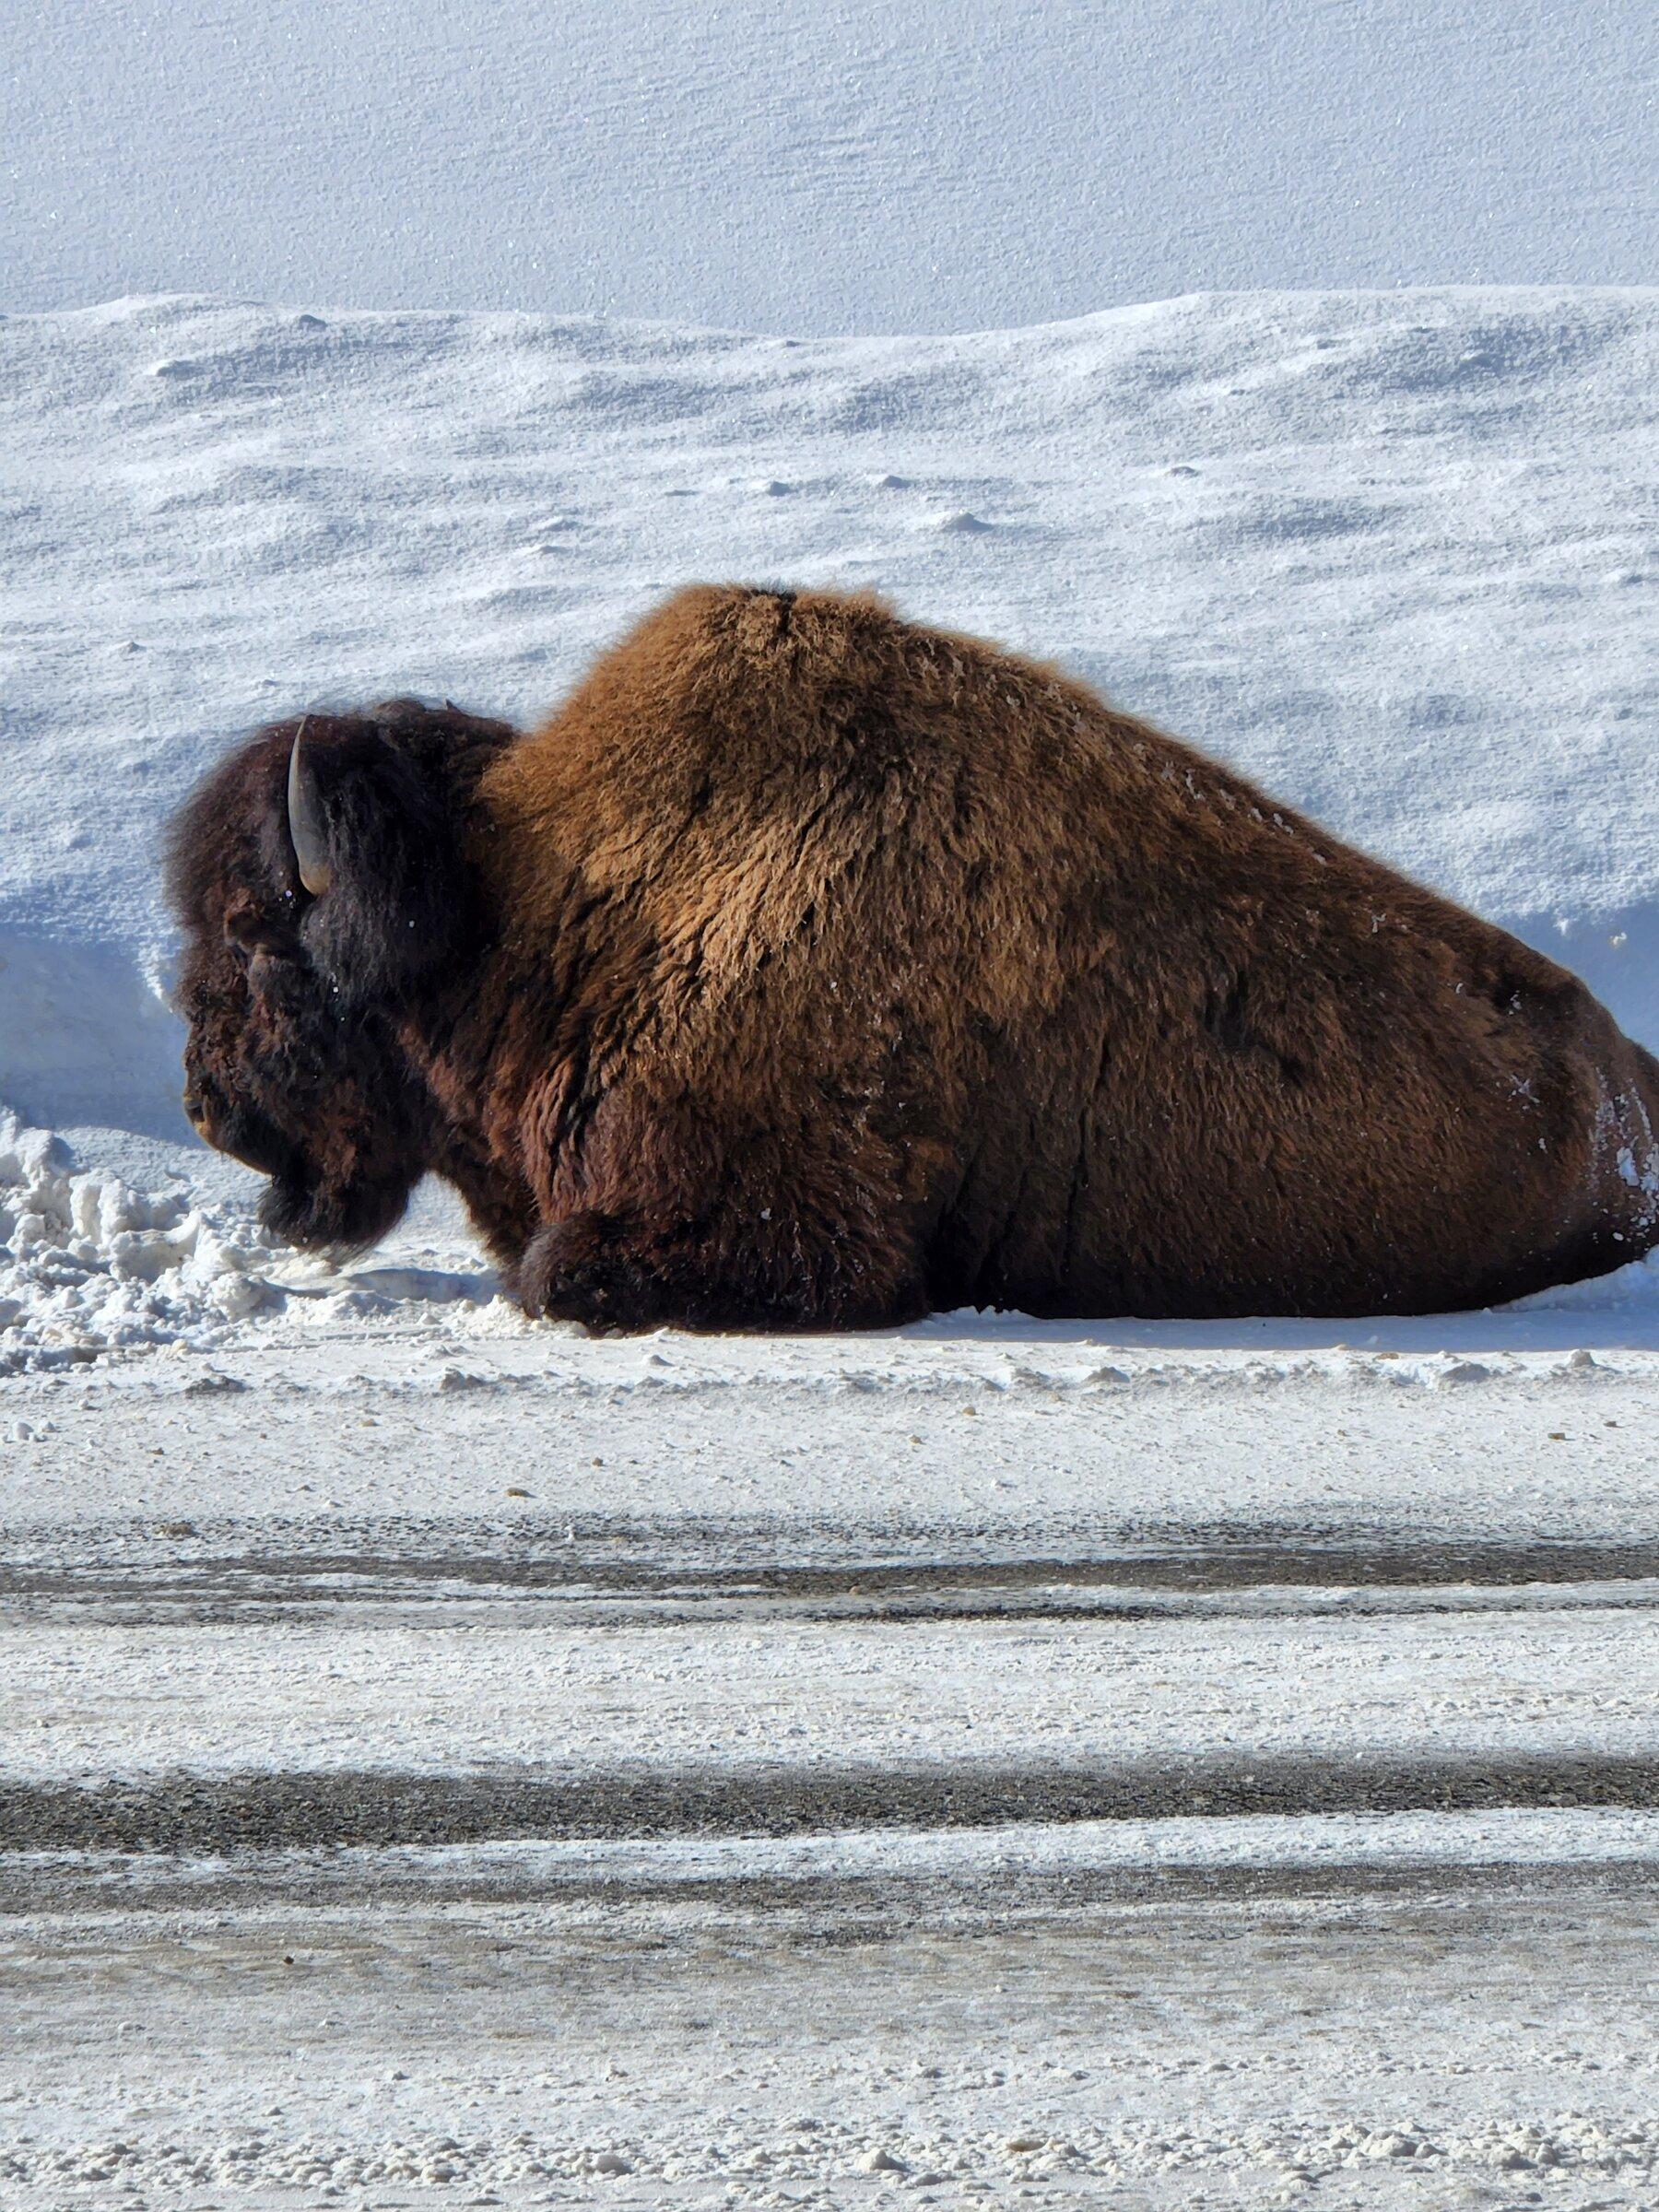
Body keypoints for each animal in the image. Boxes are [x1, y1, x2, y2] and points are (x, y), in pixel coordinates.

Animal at [167, 583, 1659, 1328]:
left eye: (259, 942)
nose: (207, 1105)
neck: (525, 902)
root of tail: (1629, 1085)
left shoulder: (780, 1225)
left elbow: (557, 1277)